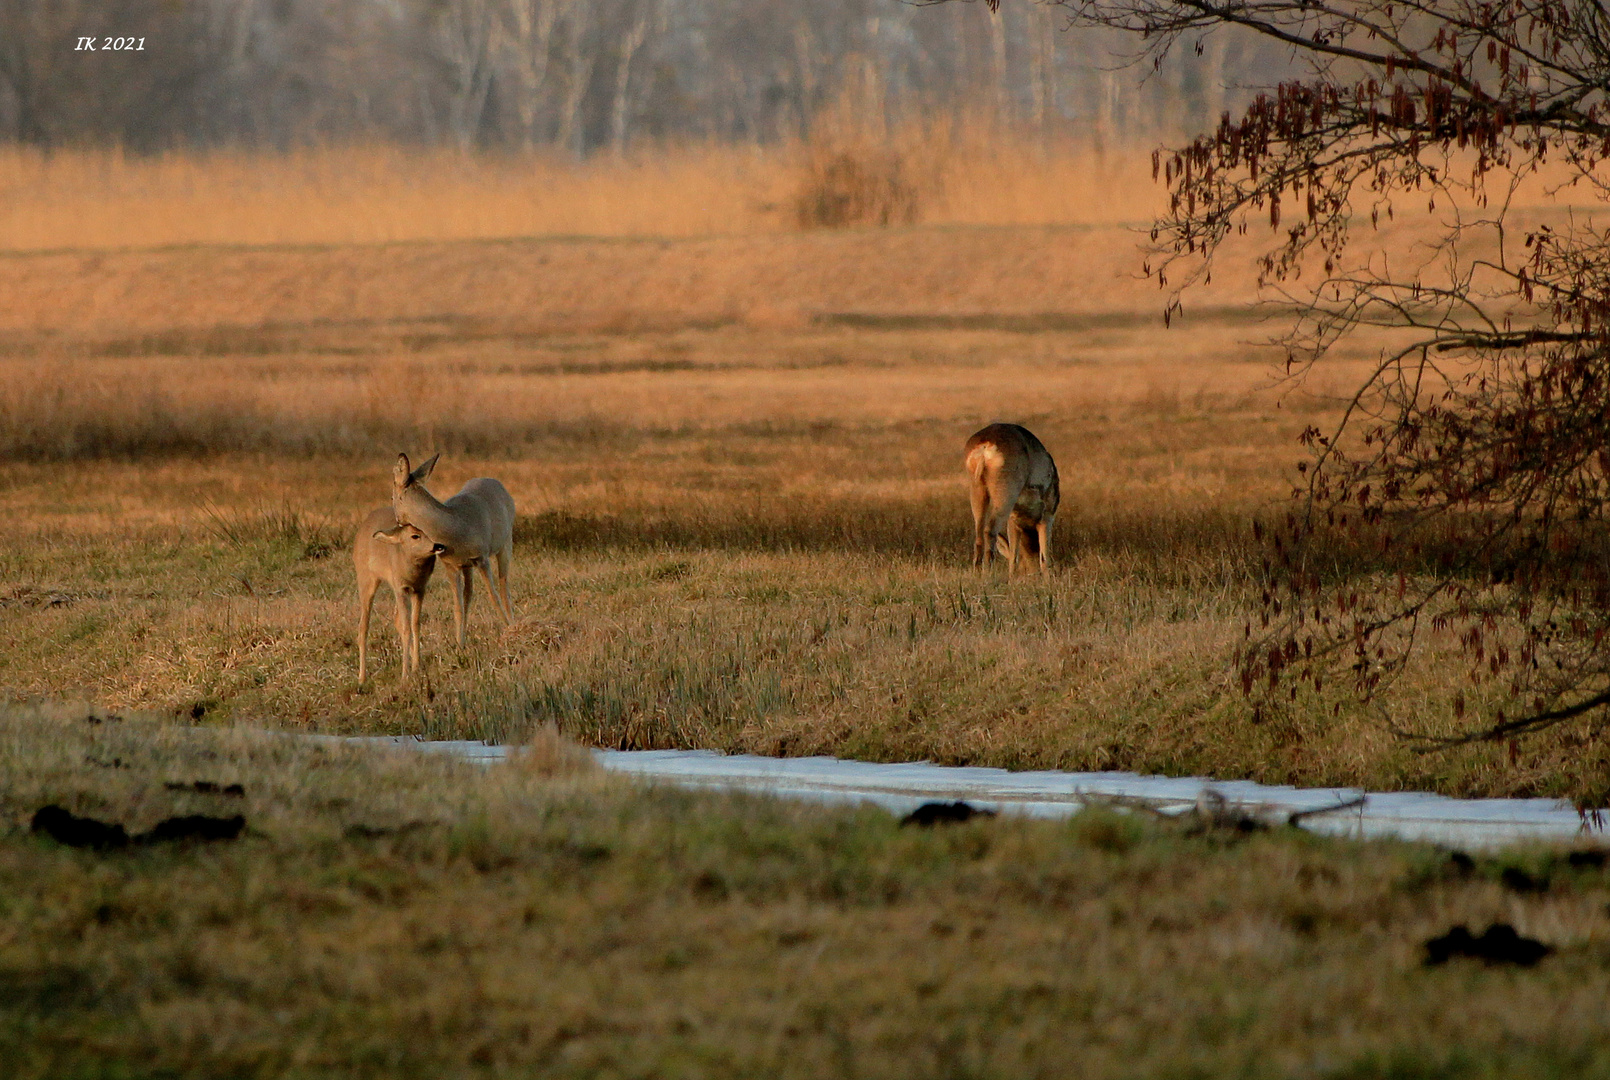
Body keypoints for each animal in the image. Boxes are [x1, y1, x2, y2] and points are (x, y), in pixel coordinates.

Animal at [354, 508, 447, 685]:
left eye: (426, 530)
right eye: (415, 535)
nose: (438, 546)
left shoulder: (419, 589)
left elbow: (415, 624)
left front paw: (416, 667)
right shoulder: (400, 588)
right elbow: (406, 627)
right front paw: (405, 675)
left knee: (396, 619)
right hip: (366, 579)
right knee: (363, 626)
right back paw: (362, 677)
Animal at [389, 450, 515, 647]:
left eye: (392, 497)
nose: (398, 522)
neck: (455, 526)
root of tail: (496, 482)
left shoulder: (482, 558)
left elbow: (493, 596)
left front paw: (509, 631)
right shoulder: (451, 565)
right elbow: (457, 606)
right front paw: (459, 645)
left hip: (506, 542)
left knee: (503, 587)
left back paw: (513, 622)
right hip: (467, 566)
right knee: (468, 593)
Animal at [959, 421, 1062, 572]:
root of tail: (985, 445)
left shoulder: (1013, 520)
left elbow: (1013, 557)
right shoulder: (1047, 516)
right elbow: (1044, 558)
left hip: (977, 488)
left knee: (978, 534)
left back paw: (977, 572)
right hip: (1006, 492)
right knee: (990, 530)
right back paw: (988, 572)